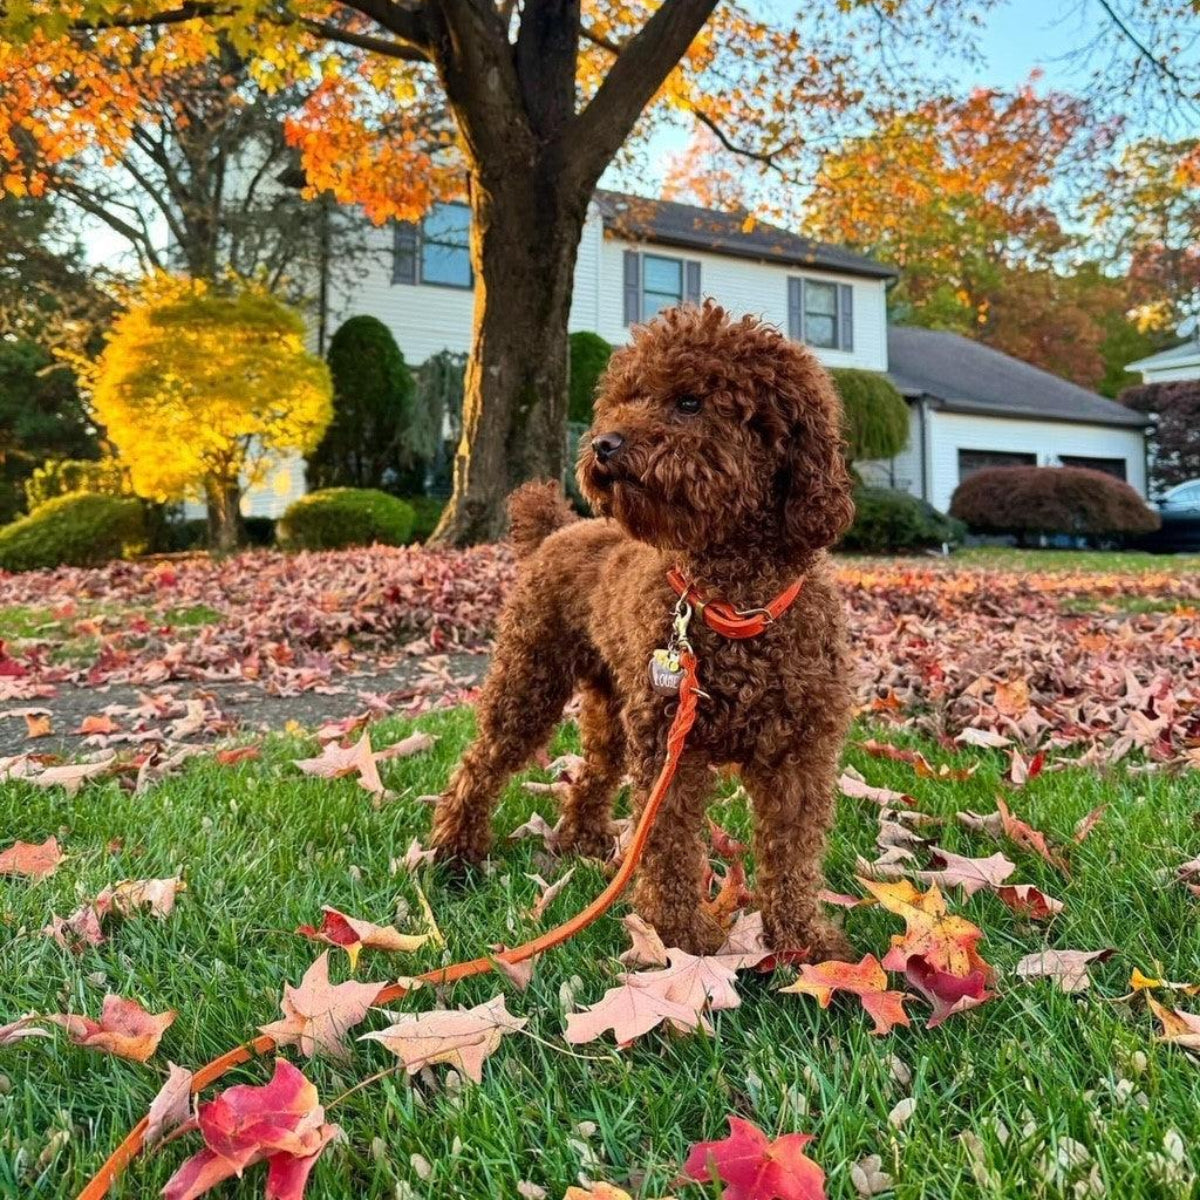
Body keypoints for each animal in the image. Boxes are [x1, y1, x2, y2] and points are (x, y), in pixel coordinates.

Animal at [432, 304, 854, 960]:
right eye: (626, 399)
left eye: (690, 402)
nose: (602, 444)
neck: (733, 604)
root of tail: (559, 528)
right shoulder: (669, 746)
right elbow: (669, 845)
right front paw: (680, 937)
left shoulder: (799, 753)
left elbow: (792, 853)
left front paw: (803, 942)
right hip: (530, 679)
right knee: (484, 762)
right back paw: (455, 854)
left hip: (611, 703)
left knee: (595, 770)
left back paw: (581, 842)